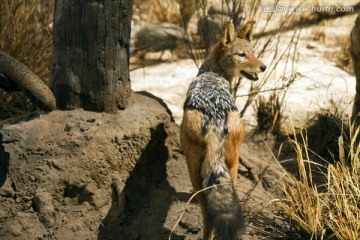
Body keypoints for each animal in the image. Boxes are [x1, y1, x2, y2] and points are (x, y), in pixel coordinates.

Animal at [180, 19, 268, 239]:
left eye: (253, 52)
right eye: (242, 54)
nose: (263, 67)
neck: (212, 74)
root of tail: (215, 120)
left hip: (194, 168)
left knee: (207, 214)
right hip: (233, 165)